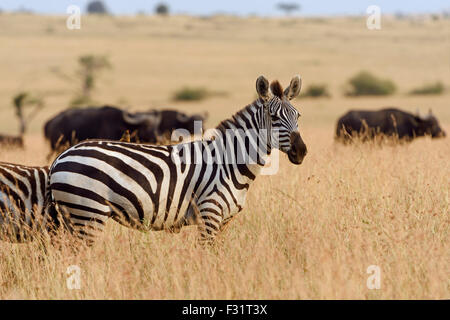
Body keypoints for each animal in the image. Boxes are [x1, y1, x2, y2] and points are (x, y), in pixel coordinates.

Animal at [46, 75, 306, 244]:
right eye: (273, 117)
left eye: (298, 115)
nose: (301, 151)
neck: (230, 163)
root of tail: (60, 158)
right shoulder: (209, 214)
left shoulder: (224, 221)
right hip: (88, 212)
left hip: (73, 216)